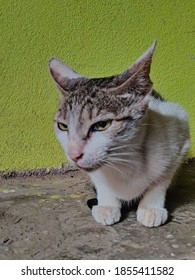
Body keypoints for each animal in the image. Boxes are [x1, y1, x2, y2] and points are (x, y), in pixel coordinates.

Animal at [48, 41, 190, 228]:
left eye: (101, 125)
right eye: (63, 126)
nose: (73, 154)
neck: (124, 161)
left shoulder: (179, 134)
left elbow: (161, 179)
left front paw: (151, 207)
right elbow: (100, 180)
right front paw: (107, 205)